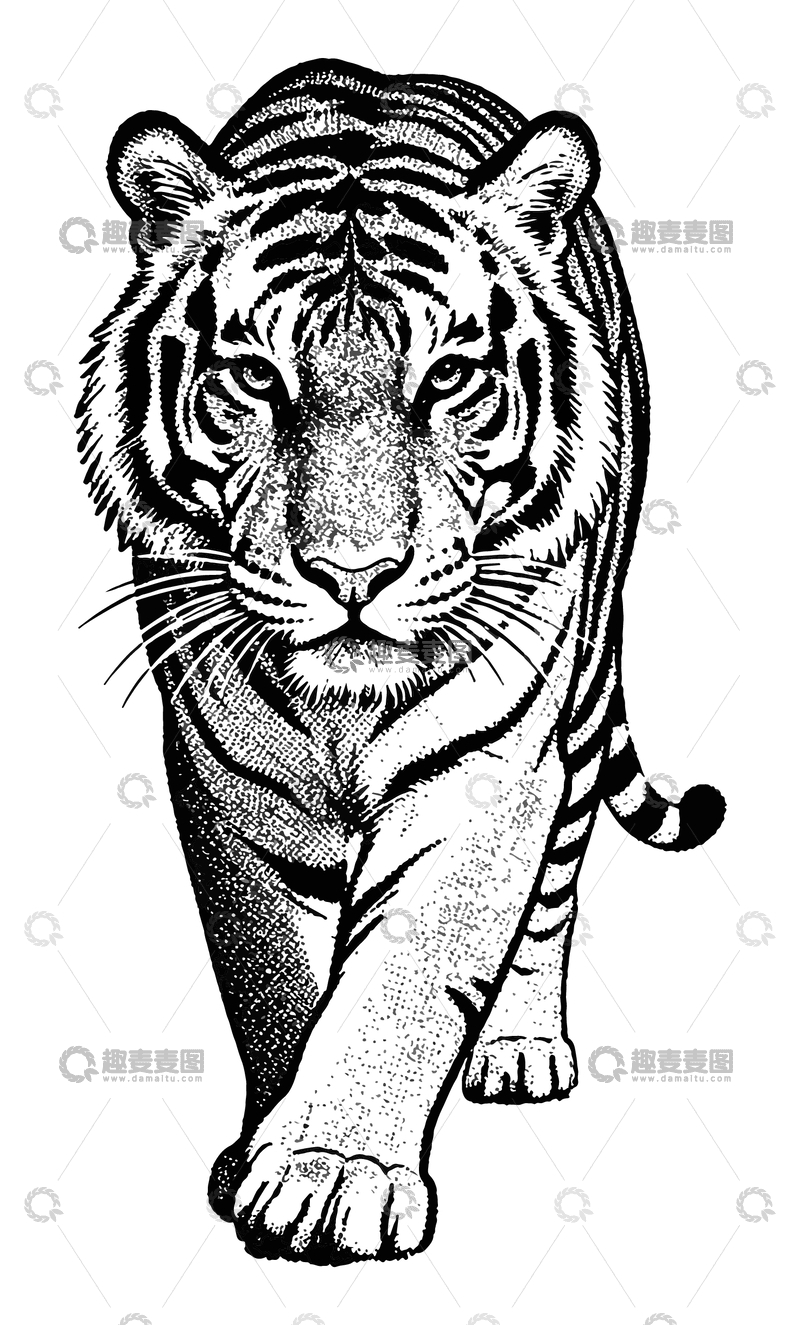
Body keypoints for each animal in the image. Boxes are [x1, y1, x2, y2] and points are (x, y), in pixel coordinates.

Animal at [76, 58, 725, 1264]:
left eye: (447, 378)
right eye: (255, 379)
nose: (353, 571)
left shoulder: (483, 770)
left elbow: (406, 972)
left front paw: (336, 1174)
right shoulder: (229, 779)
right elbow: (275, 971)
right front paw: (267, 1153)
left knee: (555, 887)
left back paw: (518, 1046)